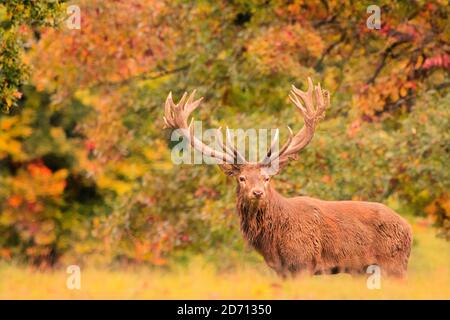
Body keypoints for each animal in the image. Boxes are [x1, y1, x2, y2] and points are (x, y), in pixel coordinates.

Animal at [163, 77, 414, 278]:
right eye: (242, 178)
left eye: (266, 179)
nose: (257, 193)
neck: (273, 242)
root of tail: (408, 228)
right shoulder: (281, 271)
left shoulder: (303, 261)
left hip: (394, 263)